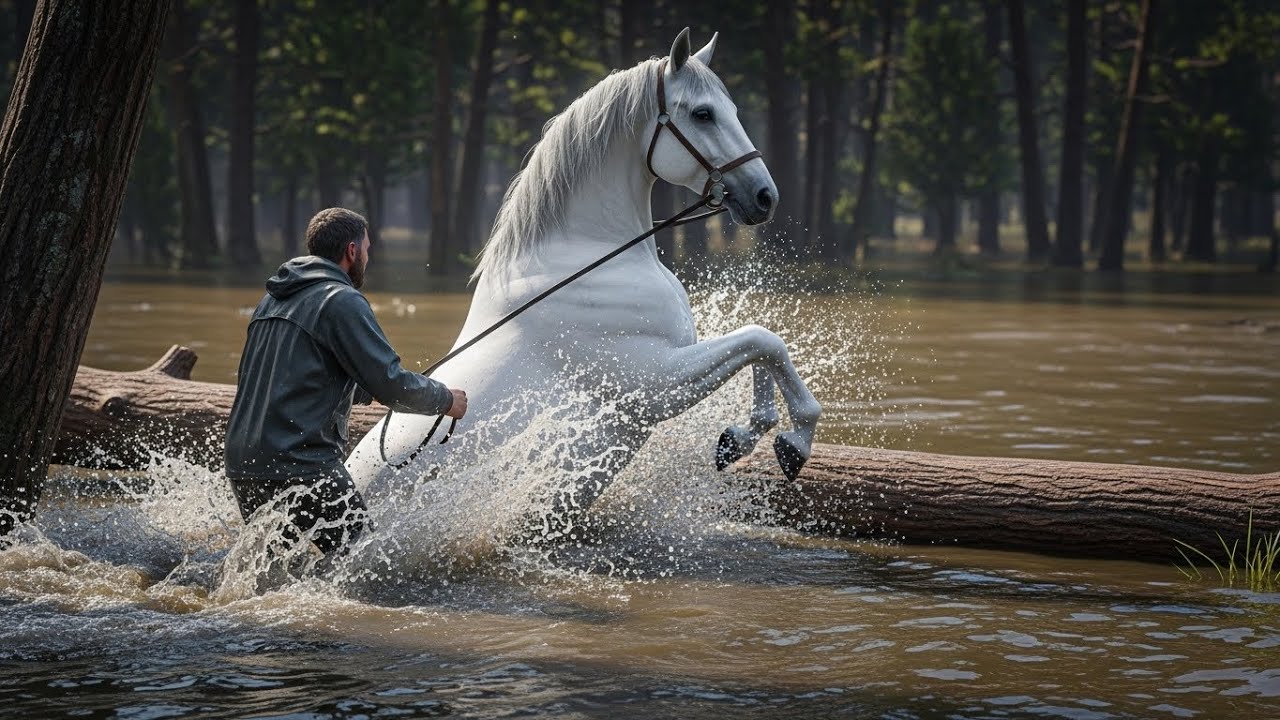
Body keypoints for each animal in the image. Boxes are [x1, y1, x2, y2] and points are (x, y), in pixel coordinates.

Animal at [345, 28, 821, 540]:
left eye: (731, 109)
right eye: (702, 113)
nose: (765, 197)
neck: (590, 257)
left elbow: (761, 350)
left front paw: (738, 440)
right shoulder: (653, 384)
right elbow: (763, 340)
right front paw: (792, 443)